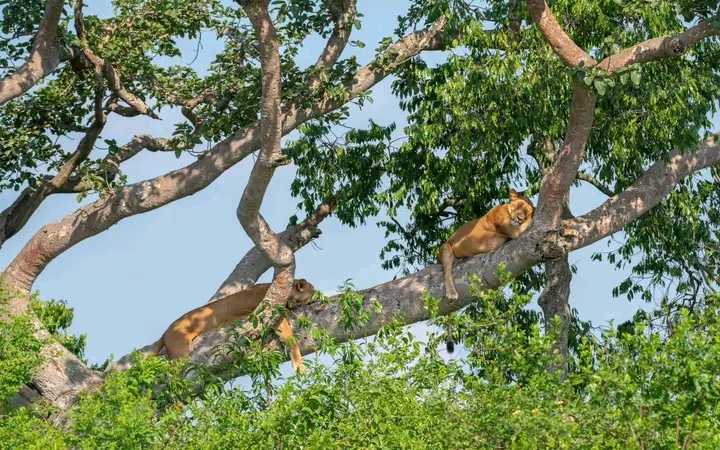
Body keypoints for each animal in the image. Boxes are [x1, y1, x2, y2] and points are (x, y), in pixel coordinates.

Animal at [150, 278, 316, 372]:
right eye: (314, 291)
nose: (319, 294)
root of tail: (165, 332)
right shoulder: (272, 313)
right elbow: (290, 339)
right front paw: (299, 366)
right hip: (180, 351)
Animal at [436, 188, 532, 354]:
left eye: (526, 211)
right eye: (518, 206)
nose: (519, 218)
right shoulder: (512, 231)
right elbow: (528, 222)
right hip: (446, 248)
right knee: (447, 272)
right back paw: (452, 293)